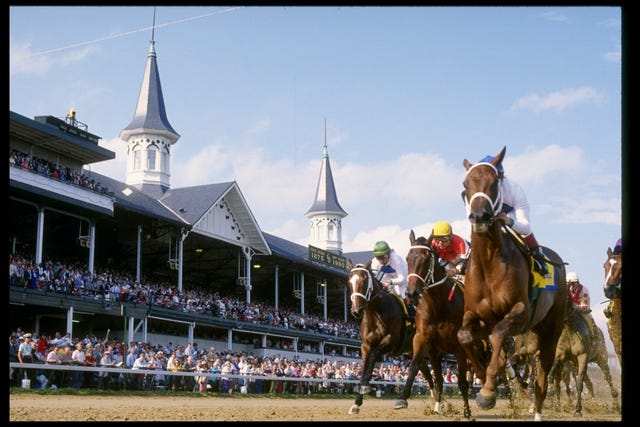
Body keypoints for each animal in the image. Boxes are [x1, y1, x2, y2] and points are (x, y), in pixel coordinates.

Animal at [348, 260, 432, 414]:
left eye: (364, 280)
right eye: (349, 281)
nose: (356, 311)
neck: (376, 312)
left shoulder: (391, 341)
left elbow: (374, 355)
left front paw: (365, 386)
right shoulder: (365, 345)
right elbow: (364, 367)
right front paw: (357, 403)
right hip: (417, 350)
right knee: (424, 370)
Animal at [392, 232, 472, 420]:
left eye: (426, 258)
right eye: (408, 258)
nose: (411, 293)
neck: (439, 304)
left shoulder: (459, 347)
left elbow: (462, 382)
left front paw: (467, 411)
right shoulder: (423, 340)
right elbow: (415, 367)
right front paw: (402, 398)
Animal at [458, 147, 568, 422]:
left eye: (494, 182)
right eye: (466, 184)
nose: (480, 216)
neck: (488, 263)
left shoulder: (520, 311)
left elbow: (498, 334)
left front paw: (488, 390)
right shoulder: (475, 316)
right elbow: (464, 336)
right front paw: (482, 375)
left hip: (551, 330)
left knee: (543, 376)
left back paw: (537, 409)